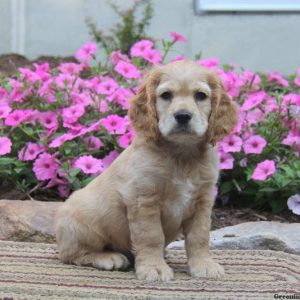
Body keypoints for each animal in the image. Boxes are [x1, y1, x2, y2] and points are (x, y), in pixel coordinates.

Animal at [54, 60, 237, 282]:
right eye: (166, 95)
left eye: (200, 95)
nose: (183, 116)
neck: (182, 154)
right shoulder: (144, 199)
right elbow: (152, 236)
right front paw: (154, 267)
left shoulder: (202, 201)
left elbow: (200, 236)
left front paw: (203, 265)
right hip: (84, 225)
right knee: (71, 254)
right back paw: (108, 258)